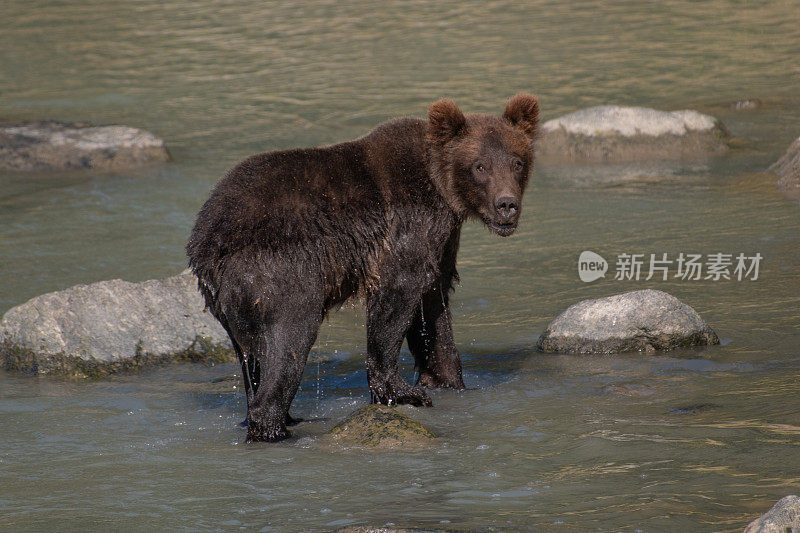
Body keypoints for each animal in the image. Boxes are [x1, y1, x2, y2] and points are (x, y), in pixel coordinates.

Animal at [187, 92, 536, 440]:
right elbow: (396, 295)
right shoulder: (406, 225)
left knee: (252, 359)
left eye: (517, 162)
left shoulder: (443, 241)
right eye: (480, 166)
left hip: (233, 304)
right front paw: (403, 392)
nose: (506, 205)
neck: (442, 189)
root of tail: (206, 242)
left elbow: (433, 312)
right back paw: (274, 424)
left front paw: (446, 380)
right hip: (276, 271)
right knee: (288, 340)